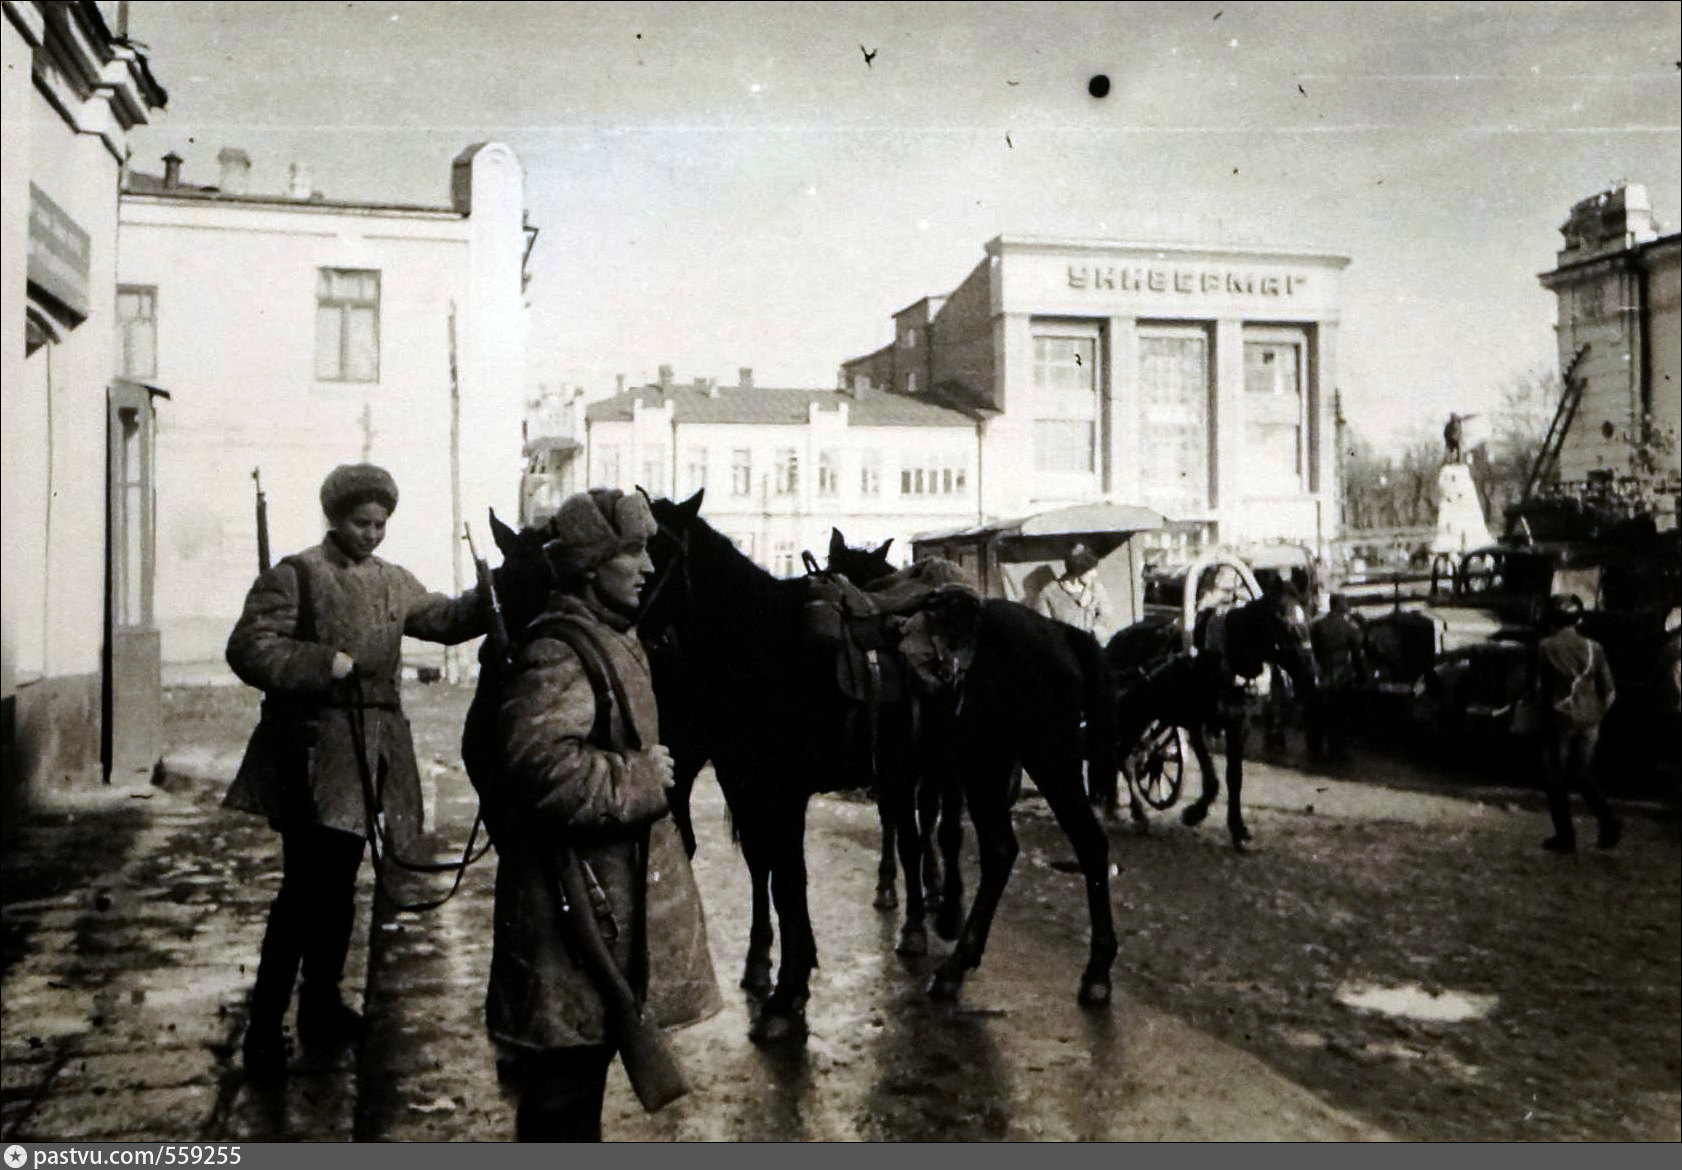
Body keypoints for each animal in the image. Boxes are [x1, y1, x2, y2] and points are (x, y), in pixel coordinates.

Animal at [820, 531, 1123, 1008]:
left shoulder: (900, 768)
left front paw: (917, 921)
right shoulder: (934, 770)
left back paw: (956, 963)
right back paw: (1096, 970)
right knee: (1088, 845)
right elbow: (934, 831)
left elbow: (912, 837)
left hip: (1007, 767)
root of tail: (1063, 633)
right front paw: (938, 901)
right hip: (1039, 763)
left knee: (1003, 849)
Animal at [1103, 585, 1325, 850]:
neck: (1220, 657)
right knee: (1121, 757)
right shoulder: (1196, 723)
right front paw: (1194, 813)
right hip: (1132, 715)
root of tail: (1113, 644)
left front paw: (1238, 828)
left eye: (1308, 623)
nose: (1312, 678)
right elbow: (1211, 780)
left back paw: (1117, 807)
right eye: (1284, 625)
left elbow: (1234, 778)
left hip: (1143, 717)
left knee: (1123, 755)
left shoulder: (1238, 724)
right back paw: (1134, 812)